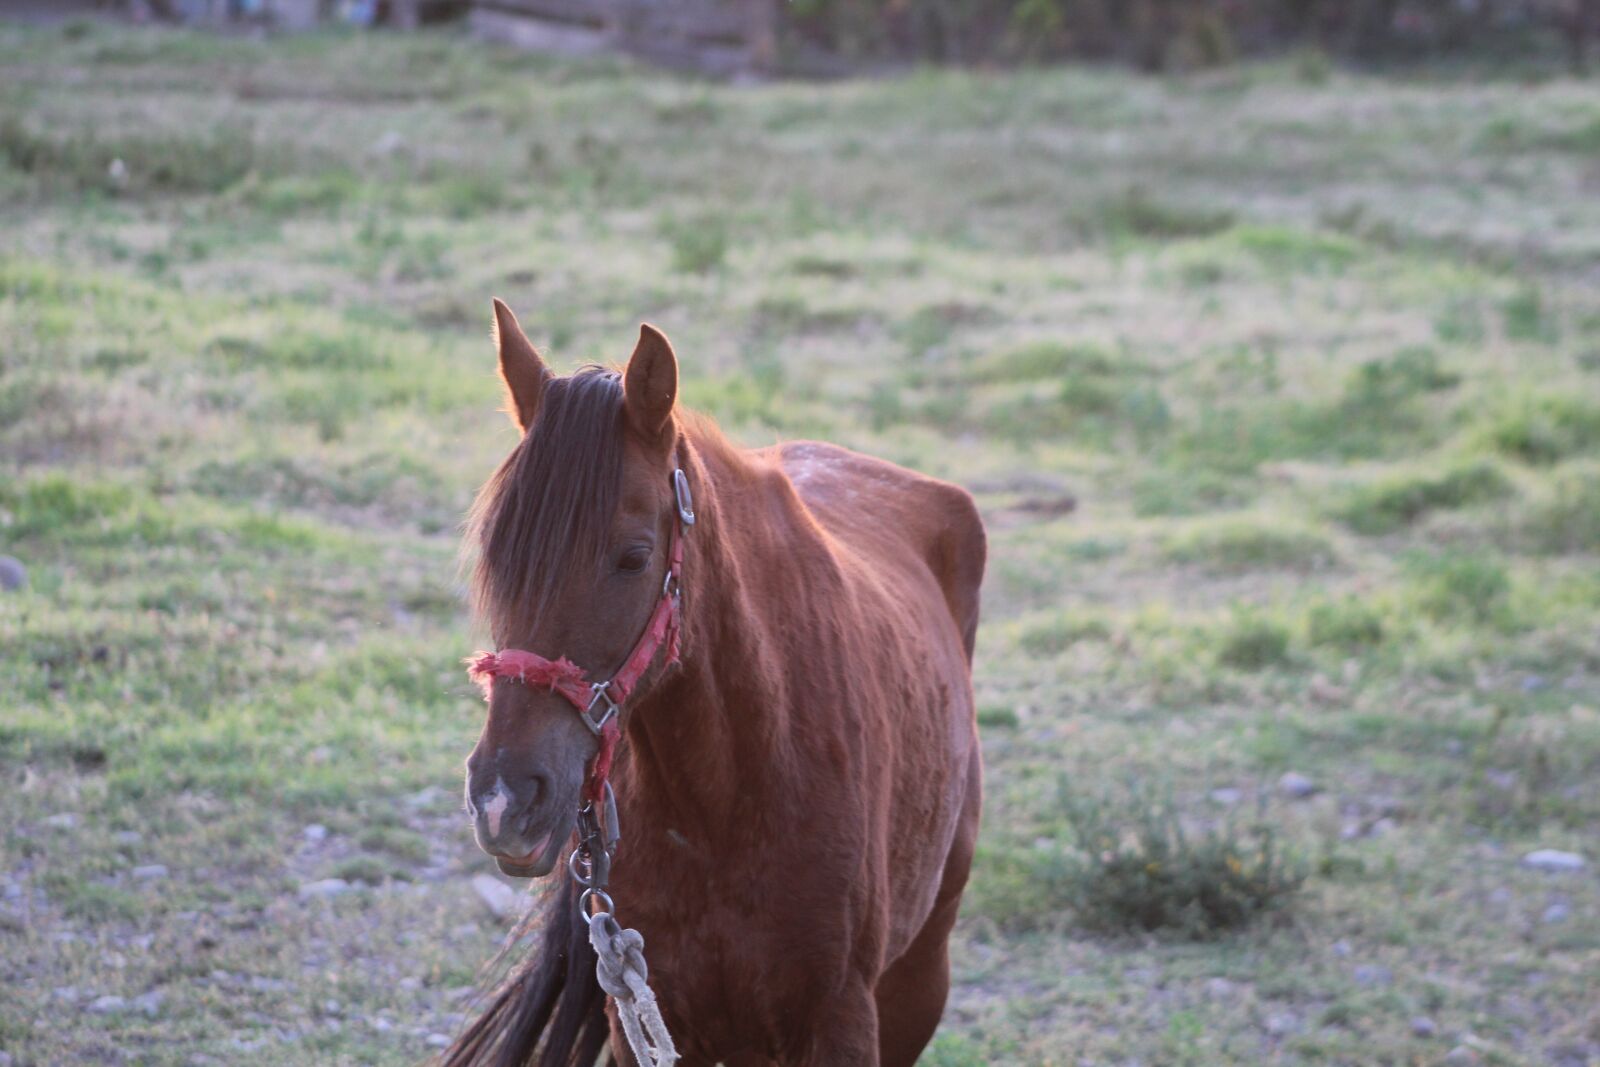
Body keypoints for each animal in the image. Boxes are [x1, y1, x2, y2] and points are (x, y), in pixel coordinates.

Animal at [444, 300, 979, 1067]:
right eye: (497, 550)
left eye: (634, 556)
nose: (504, 798)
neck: (728, 792)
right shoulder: (647, 1016)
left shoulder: (846, 1017)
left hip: (921, 969)